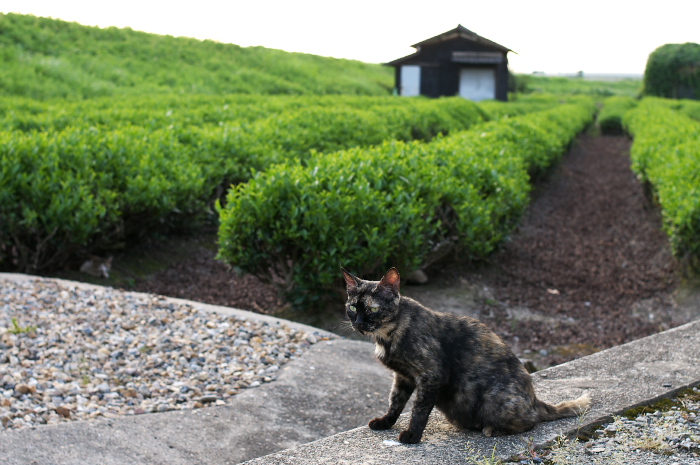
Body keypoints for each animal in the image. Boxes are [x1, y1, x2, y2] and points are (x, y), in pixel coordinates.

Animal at [344, 264, 592, 442]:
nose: (358, 323)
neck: (389, 334)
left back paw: (492, 429)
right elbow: (395, 401)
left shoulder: (431, 375)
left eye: (373, 308)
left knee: (531, 422)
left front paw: (412, 436)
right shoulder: (403, 376)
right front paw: (386, 422)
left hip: (494, 398)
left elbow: (419, 409)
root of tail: (535, 400)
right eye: (353, 307)